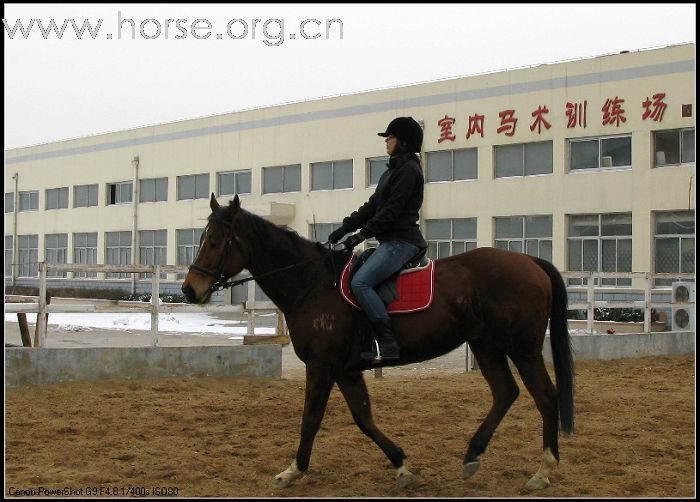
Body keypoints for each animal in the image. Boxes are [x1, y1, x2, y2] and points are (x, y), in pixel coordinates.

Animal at [180, 194, 576, 492]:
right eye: (201, 239)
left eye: (215, 241)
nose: (189, 290)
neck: (313, 284)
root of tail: (530, 261)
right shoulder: (346, 370)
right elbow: (363, 418)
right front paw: (401, 465)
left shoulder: (322, 366)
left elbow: (311, 418)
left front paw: (293, 470)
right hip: (486, 346)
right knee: (506, 393)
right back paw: (471, 456)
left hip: (522, 348)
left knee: (545, 396)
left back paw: (543, 470)